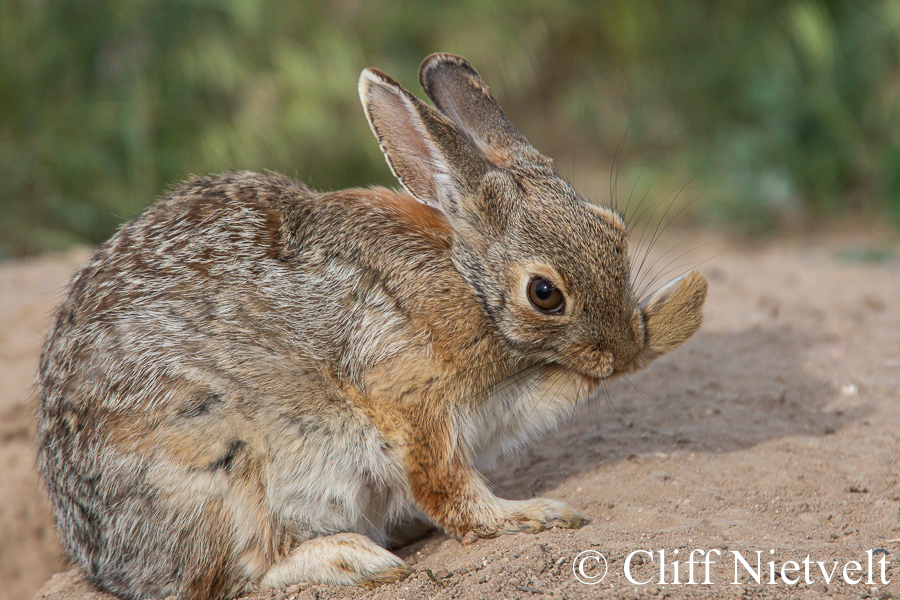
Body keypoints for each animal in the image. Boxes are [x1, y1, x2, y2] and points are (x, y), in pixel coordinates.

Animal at [38, 52, 708, 600]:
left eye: (614, 228)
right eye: (545, 294)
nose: (622, 348)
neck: (468, 281)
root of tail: (99, 555)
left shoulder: (491, 406)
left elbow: (551, 393)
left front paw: (674, 314)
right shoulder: (411, 401)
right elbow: (450, 487)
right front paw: (531, 516)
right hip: (215, 476)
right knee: (236, 573)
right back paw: (351, 558)